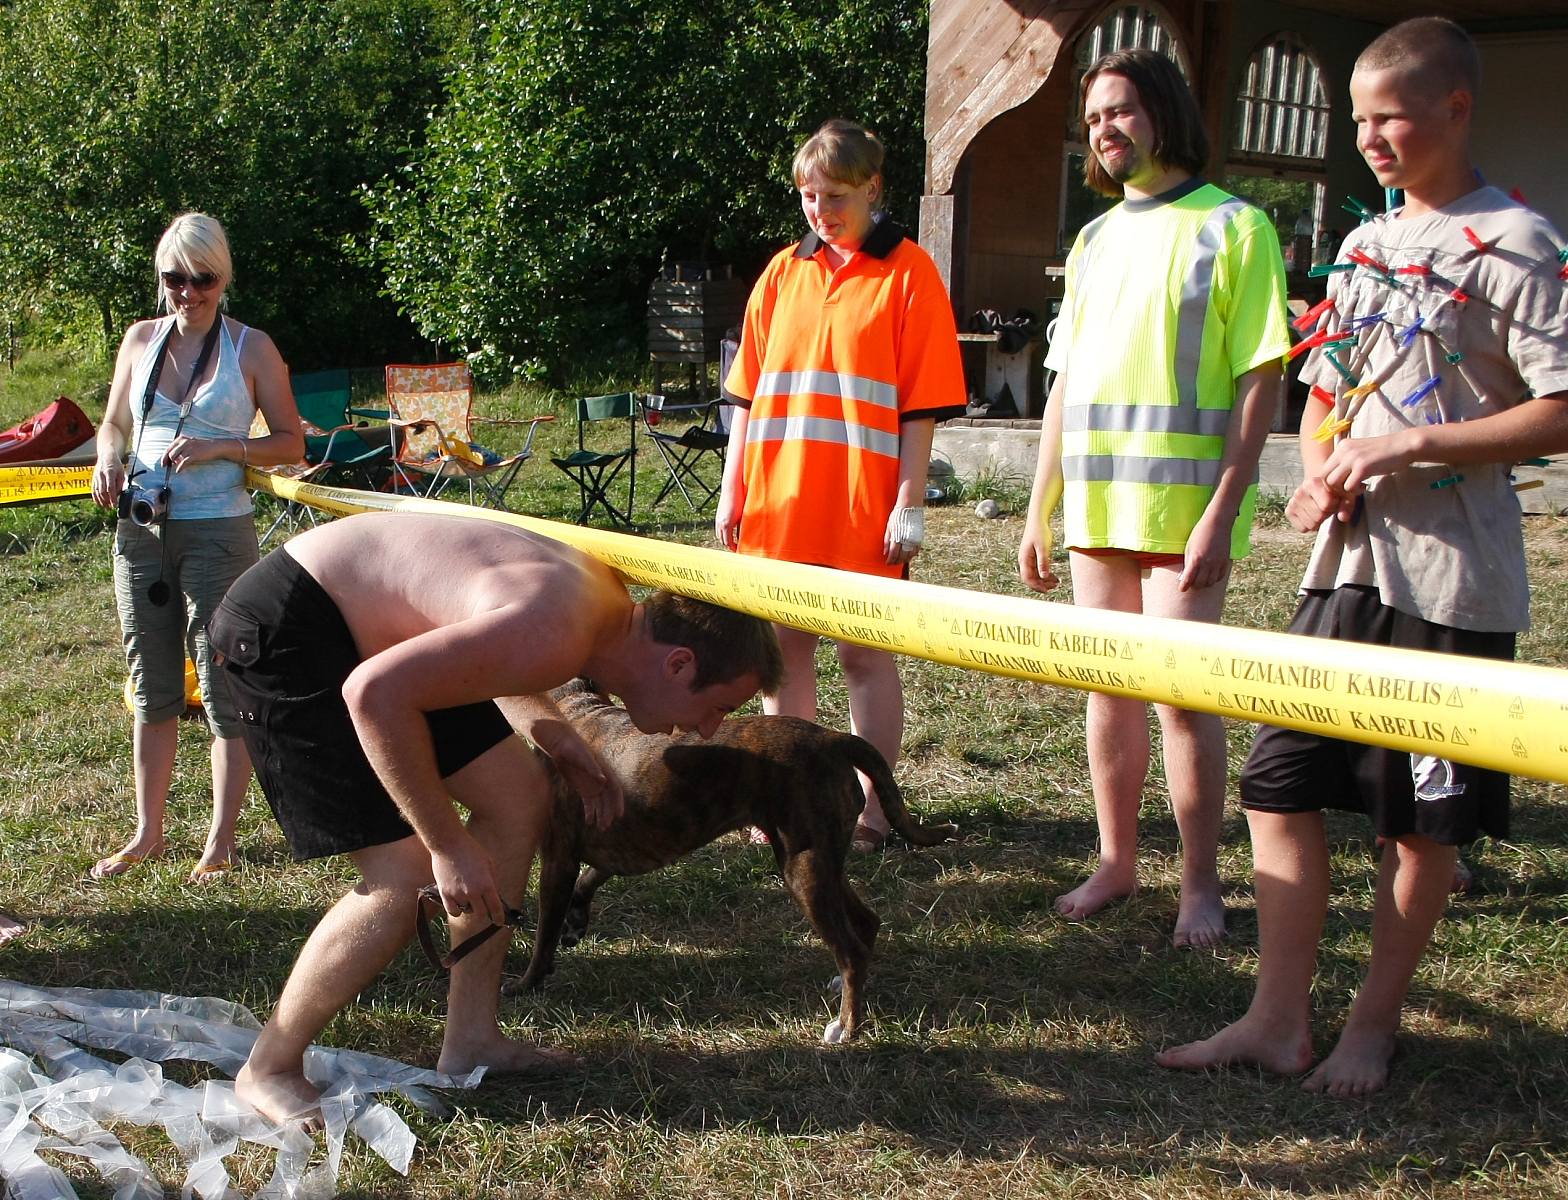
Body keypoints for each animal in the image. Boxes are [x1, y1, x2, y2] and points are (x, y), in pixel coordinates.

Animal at [504, 679, 956, 1042]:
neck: (575, 708)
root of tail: (833, 738)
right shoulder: (622, 849)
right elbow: (588, 883)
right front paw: (576, 920)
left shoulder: (559, 861)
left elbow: (543, 934)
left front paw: (526, 983)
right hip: (822, 863)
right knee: (866, 923)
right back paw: (843, 991)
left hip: (803, 871)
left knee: (851, 951)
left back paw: (846, 1027)